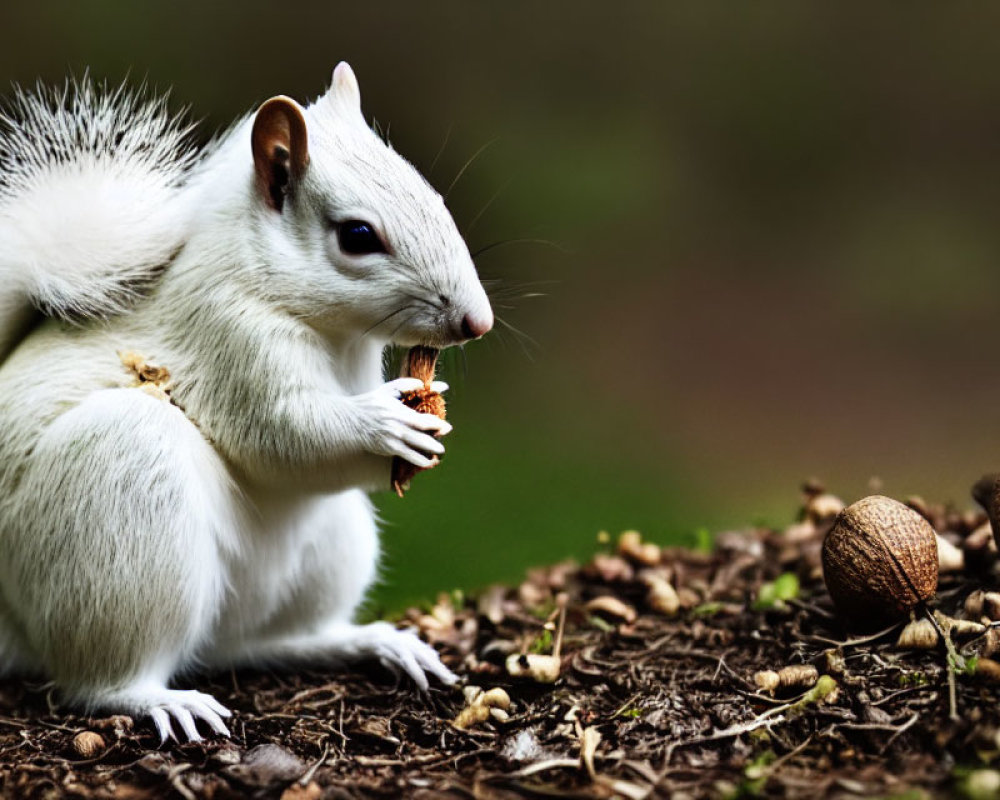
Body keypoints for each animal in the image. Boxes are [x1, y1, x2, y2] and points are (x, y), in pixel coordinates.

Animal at [0, 64, 492, 744]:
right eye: (358, 236)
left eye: (435, 198)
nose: (479, 322)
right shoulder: (229, 338)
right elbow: (287, 436)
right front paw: (384, 421)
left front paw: (431, 415)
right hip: (120, 499)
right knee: (97, 680)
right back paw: (154, 698)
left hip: (328, 550)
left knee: (268, 642)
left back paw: (365, 643)